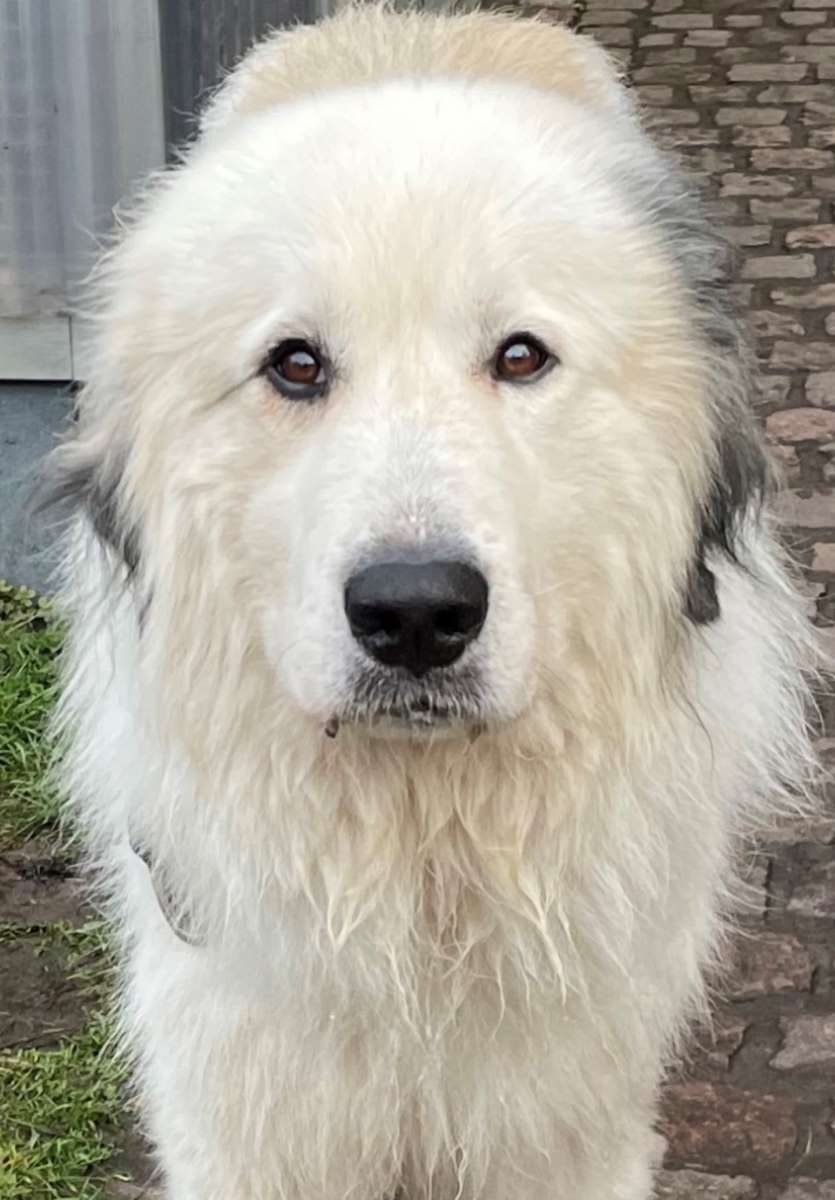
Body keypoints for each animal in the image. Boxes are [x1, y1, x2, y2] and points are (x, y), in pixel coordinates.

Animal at [49, 5, 818, 1198]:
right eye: (296, 365)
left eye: (520, 356)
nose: (414, 613)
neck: (421, 872)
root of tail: (420, 21)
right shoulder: (246, 1119)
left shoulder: (565, 1131)